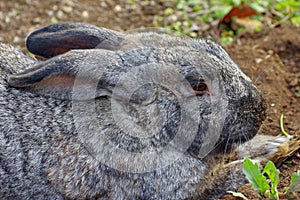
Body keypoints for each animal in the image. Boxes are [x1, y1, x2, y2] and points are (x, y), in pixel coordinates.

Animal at [0, 22, 286, 199]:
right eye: (198, 85)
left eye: (214, 46)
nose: (260, 110)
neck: (141, 125)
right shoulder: (181, 190)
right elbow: (229, 176)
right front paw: (269, 156)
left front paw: (274, 143)